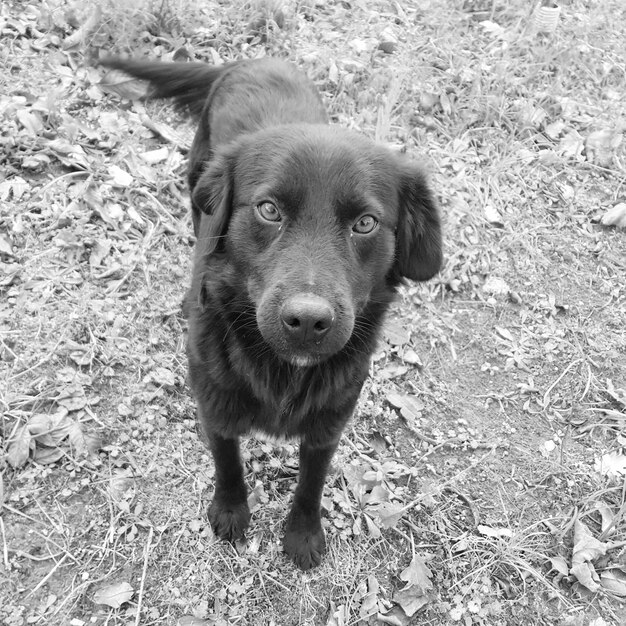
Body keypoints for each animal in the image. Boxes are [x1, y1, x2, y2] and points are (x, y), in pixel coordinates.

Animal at [100, 56, 442, 568]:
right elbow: (227, 462)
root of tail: (251, 60)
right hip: (196, 184)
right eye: (268, 210)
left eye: (365, 223)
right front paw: (230, 511)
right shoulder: (215, 404)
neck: (281, 371)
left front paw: (303, 533)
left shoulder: (329, 422)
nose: (308, 321)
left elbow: (312, 482)